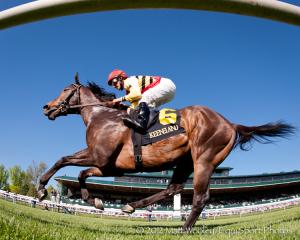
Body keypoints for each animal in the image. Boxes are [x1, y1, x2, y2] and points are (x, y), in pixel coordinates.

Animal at [39, 76, 296, 231]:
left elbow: (64, 161)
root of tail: (230, 123)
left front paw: (42, 189)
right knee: (173, 188)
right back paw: (132, 205)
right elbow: (80, 173)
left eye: (65, 90)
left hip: (204, 159)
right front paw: (96, 201)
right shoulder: (108, 165)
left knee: (200, 197)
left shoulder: (100, 157)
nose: (46, 107)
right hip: (185, 161)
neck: (101, 116)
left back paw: (184, 228)